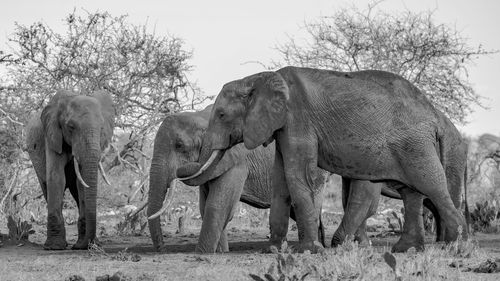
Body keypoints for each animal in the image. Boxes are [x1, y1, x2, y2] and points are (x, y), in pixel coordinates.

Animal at [26, 88, 115, 248]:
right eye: (71, 127)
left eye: (102, 128)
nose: (82, 246)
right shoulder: (51, 136)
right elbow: (56, 177)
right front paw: (54, 247)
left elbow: (81, 183)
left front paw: (84, 245)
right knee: (46, 187)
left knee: (75, 190)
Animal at [146, 104, 328, 253]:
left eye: (179, 145)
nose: (162, 250)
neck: (202, 117)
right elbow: (204, 207)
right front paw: (221, 252)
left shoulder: (236, 161)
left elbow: (216, 205)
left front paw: (202, 253)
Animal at [177, 66, 468, 253]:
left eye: (222, 115)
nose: (183, 164)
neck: (259, 78)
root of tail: (433, 112)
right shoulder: (283, 128)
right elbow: (281, 181)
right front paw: (273, 251)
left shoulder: (297, 120)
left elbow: (298, 177)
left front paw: (309, 252)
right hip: (409, 145)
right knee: (411, 192)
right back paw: (407, 250)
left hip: (415, 144)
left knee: (432, 186)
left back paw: (455, 246)